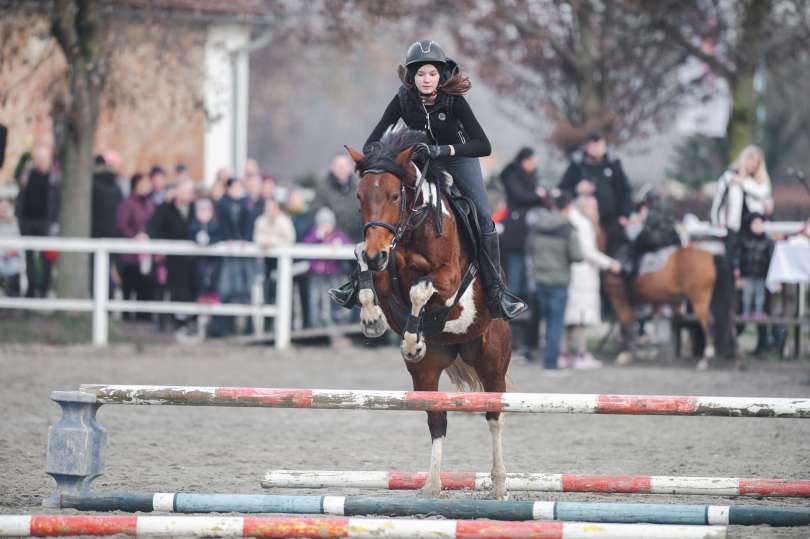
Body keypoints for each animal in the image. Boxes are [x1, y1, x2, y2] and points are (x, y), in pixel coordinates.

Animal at [342, 127, 508, 502]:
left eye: (393, 195)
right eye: (359, 196)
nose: (377, 254)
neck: (412, 228)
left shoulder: (447, 279)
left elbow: (422, 288)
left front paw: (411, 341)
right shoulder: (382, 264)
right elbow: (364, 266)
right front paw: (372, 320)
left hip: (492, 360)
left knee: (493, 415)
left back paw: (499, 484)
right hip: (428, 371)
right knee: (437, 419)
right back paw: (432, 484)